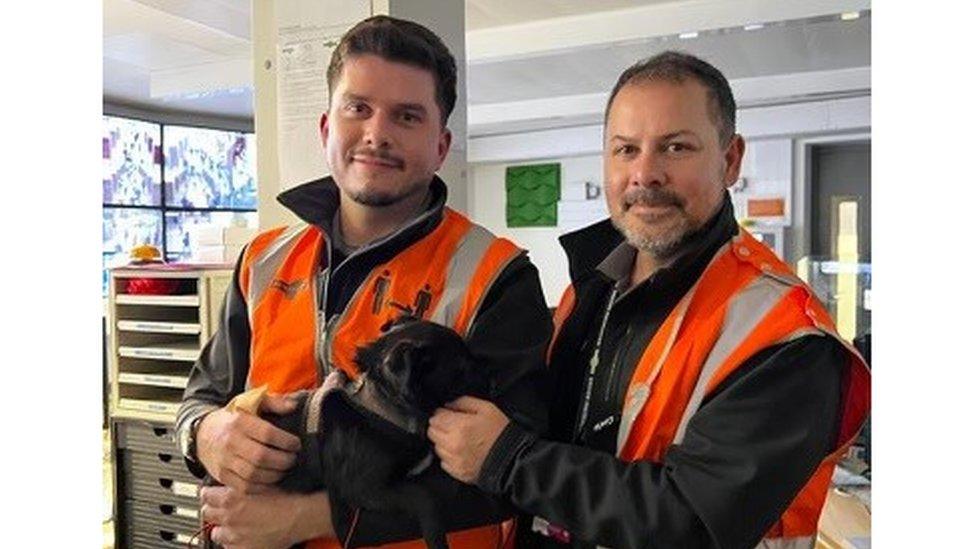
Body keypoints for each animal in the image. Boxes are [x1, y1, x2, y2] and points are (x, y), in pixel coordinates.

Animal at [262, 318, 488, 544]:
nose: (492, 379)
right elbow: (423, 496)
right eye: (463, 369)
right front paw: (436, 537)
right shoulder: (366, 489)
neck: (381, 407)